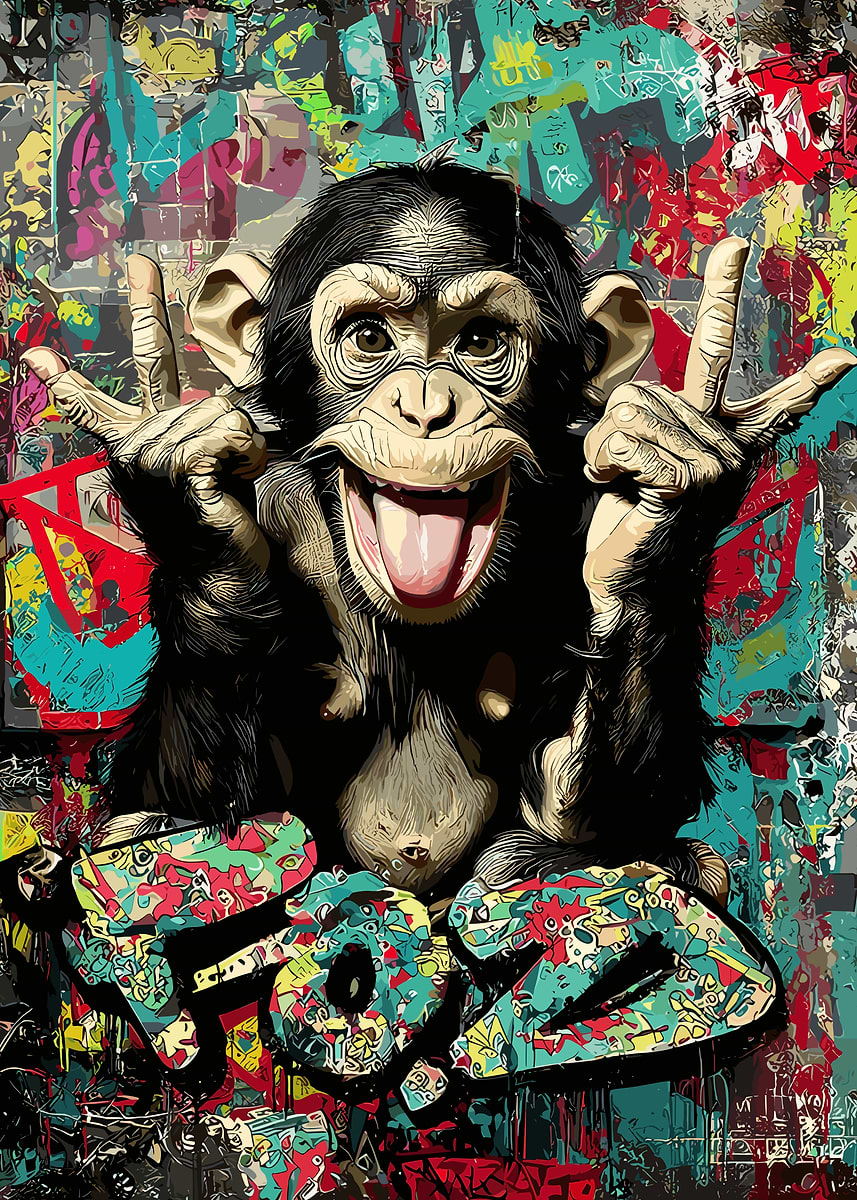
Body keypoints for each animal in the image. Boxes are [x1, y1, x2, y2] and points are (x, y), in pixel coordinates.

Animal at [22, 161, 856, 911]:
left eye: (481, 340)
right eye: (367, 337)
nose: (425, 407)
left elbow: (582, 808)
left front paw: (668, 482)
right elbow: (206, 803)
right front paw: (188, 502)